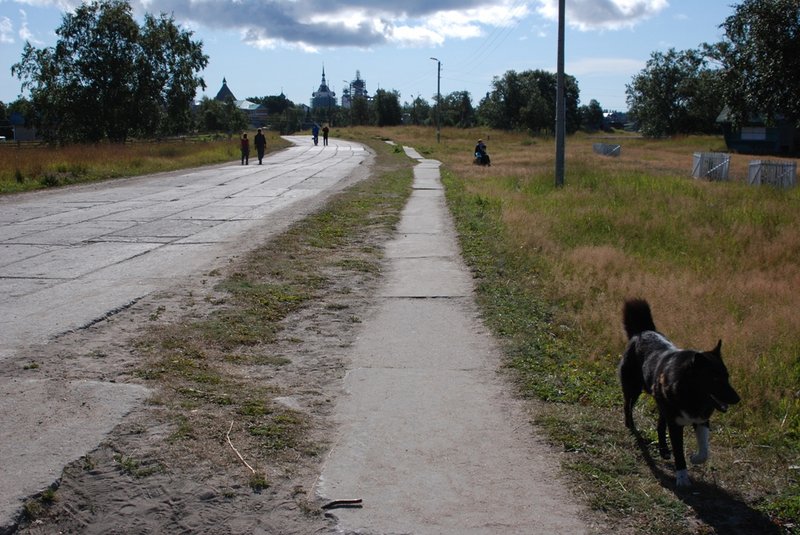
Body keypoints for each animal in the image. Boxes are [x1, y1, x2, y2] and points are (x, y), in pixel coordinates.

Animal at [620, 300, 744, 488]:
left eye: (727, 376)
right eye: (715, 379)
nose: (737, 399)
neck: (690, 394)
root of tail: (643, 331)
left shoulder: (701, 419)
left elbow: (704, 451)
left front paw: (695, 458)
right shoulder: (676, 424)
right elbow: (679, 453)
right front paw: (682, 478)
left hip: (662, 403)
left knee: (660, 424)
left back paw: (664, 450)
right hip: (634, 389)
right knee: (627, 406)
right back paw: (631, 425)